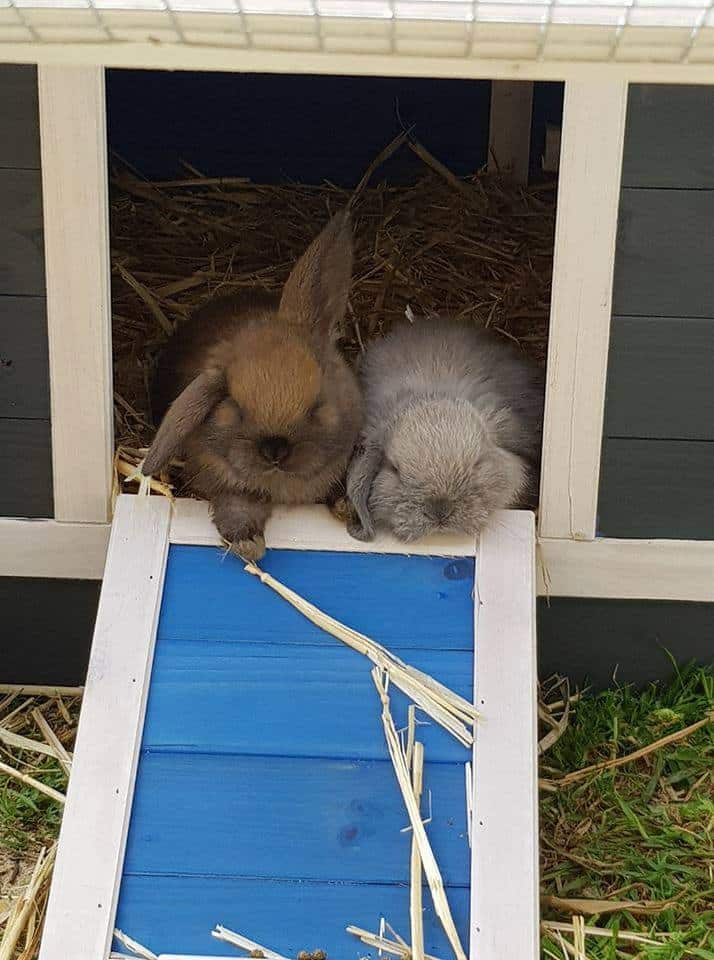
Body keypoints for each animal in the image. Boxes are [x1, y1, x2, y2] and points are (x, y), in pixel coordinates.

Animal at [142, 210, 362, 560]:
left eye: (318, 402)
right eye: (233, 404)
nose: (275, 450)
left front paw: (347, 508)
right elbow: (237, 502)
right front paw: (249, 544)